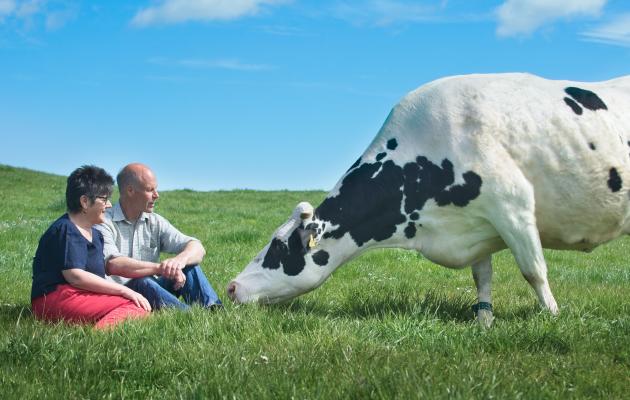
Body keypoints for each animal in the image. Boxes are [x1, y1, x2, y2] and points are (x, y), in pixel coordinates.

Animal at [230, 72, 630, 324]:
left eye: (279, 246)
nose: (232, 286)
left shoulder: (513, 205)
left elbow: (534, 270)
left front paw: (553, 317)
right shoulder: (477, 224)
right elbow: (482, 277)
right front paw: (484, 321)